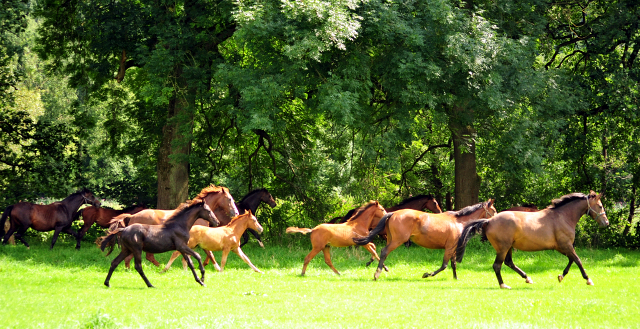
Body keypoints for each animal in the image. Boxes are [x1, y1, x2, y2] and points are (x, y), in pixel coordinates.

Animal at [352, 197, 498, 280]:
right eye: (494, 210)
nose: (497, 219)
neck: (458, 221)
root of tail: (392, 213)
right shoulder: (449, 247)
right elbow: (444, 265)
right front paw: (427, 274)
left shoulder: (453, 247)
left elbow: (453, 264)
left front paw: (456, 278)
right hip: (397, 241)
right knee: (384, 252)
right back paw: (377, 273)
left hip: (390, 239)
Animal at [456, 191, 608, 288]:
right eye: (600, 206)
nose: (606, 223)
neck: (562, 217)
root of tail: (489, 221)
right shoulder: (566, 245)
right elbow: (578, 260)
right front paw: (588, 280)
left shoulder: (563, 247)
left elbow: (572, 260)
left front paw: (561, 276)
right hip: (503, 248)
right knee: (497, 265)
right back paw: (503, 285)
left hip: (508, 247)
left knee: (509, 263)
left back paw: (527, 278)